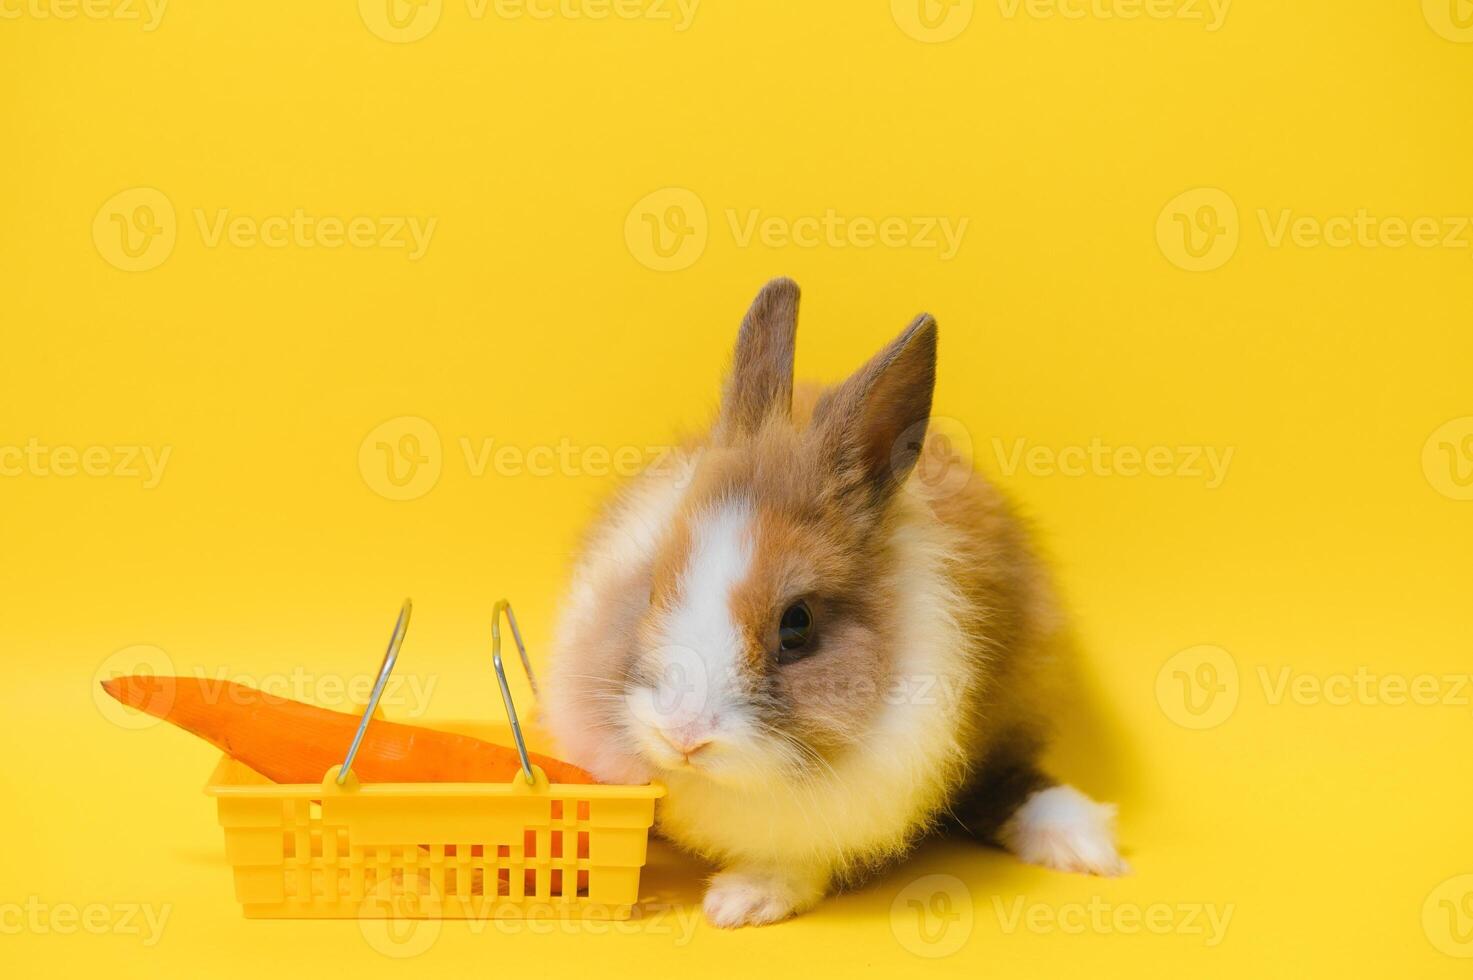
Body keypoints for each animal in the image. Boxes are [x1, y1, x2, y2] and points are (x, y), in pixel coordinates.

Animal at [542, 277, 1125, 925]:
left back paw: (1086, 843)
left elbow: (802, 856)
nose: (684, 736)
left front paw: (740, 901)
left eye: (797, 625)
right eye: (651, 588)